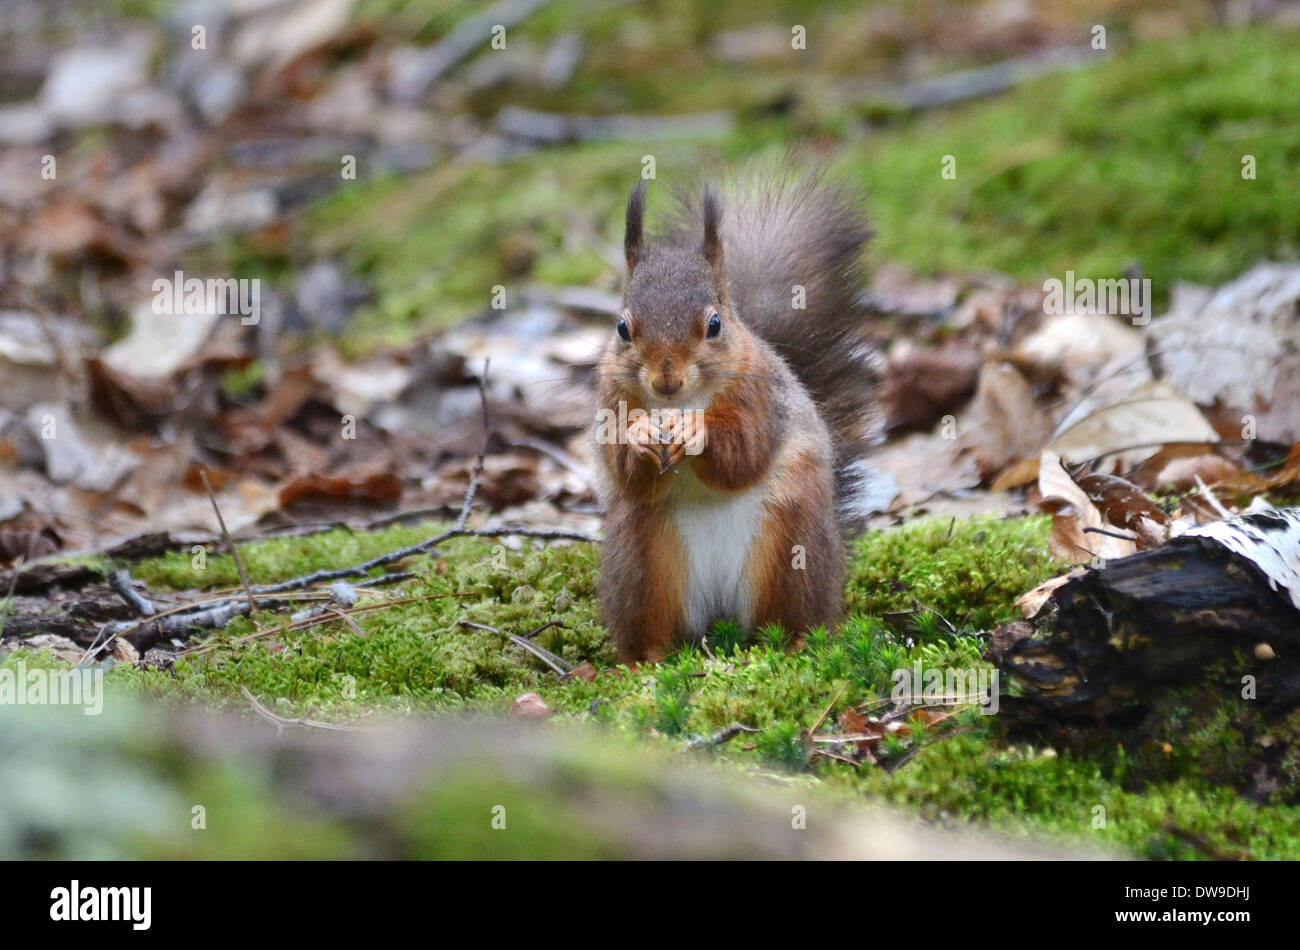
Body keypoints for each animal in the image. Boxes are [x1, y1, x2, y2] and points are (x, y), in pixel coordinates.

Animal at [592, 163, 883, 665]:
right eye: (622, 328)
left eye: (714, 324)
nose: (666, 379)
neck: (679, 402)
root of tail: (720, 610)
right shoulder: (612, 400)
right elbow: (627, 473)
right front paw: (640, 436)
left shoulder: (759, 397)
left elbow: (743, 456)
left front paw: (697, 431)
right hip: (642, 556)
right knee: (654, 632)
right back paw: (638, 664)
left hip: (790, 541)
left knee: (785, 620)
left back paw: (792, 646)